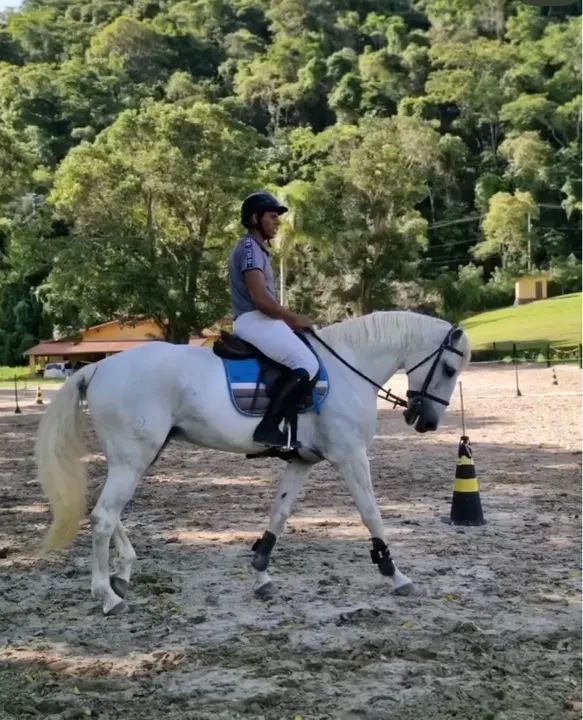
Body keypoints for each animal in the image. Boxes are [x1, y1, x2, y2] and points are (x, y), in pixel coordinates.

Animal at [36, 311, 470, 615]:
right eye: (449, 369)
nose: (426, 422)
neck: (349, 370)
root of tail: (99, 365)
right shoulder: (350, 457)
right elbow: (371, 515)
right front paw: (395, 574)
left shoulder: (303, 461)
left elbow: (279, 513)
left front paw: (261, 572)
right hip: (133, 459)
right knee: (104, 517)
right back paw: (107, 596)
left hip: (135, 457)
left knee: (106, 511)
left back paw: (123, 572)